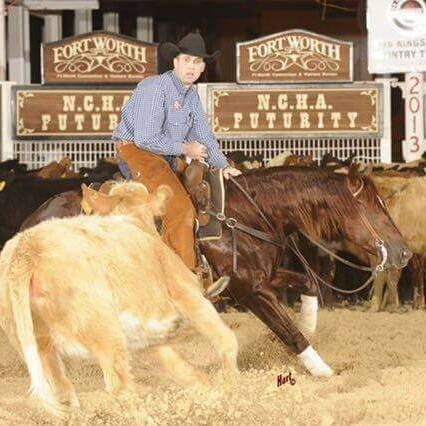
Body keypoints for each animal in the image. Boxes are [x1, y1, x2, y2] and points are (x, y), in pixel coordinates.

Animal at [0, 181, 238, 418]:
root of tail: (27, 250)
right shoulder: (188, 294)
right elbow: (225, 340)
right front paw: (231, 388)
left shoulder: (146, 340)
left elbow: (181, 368)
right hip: (105, 333)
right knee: (120, 388)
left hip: (38, 344)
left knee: (63, 390)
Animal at [17, 164, 411, 377]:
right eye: (375, 208)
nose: (405, 252)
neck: (245, 216)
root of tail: (33, 219)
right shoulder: (248, 291)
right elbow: (290, 333)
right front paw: (323, 369)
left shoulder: (265, 278)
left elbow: (309, 285)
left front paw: (308, 326)